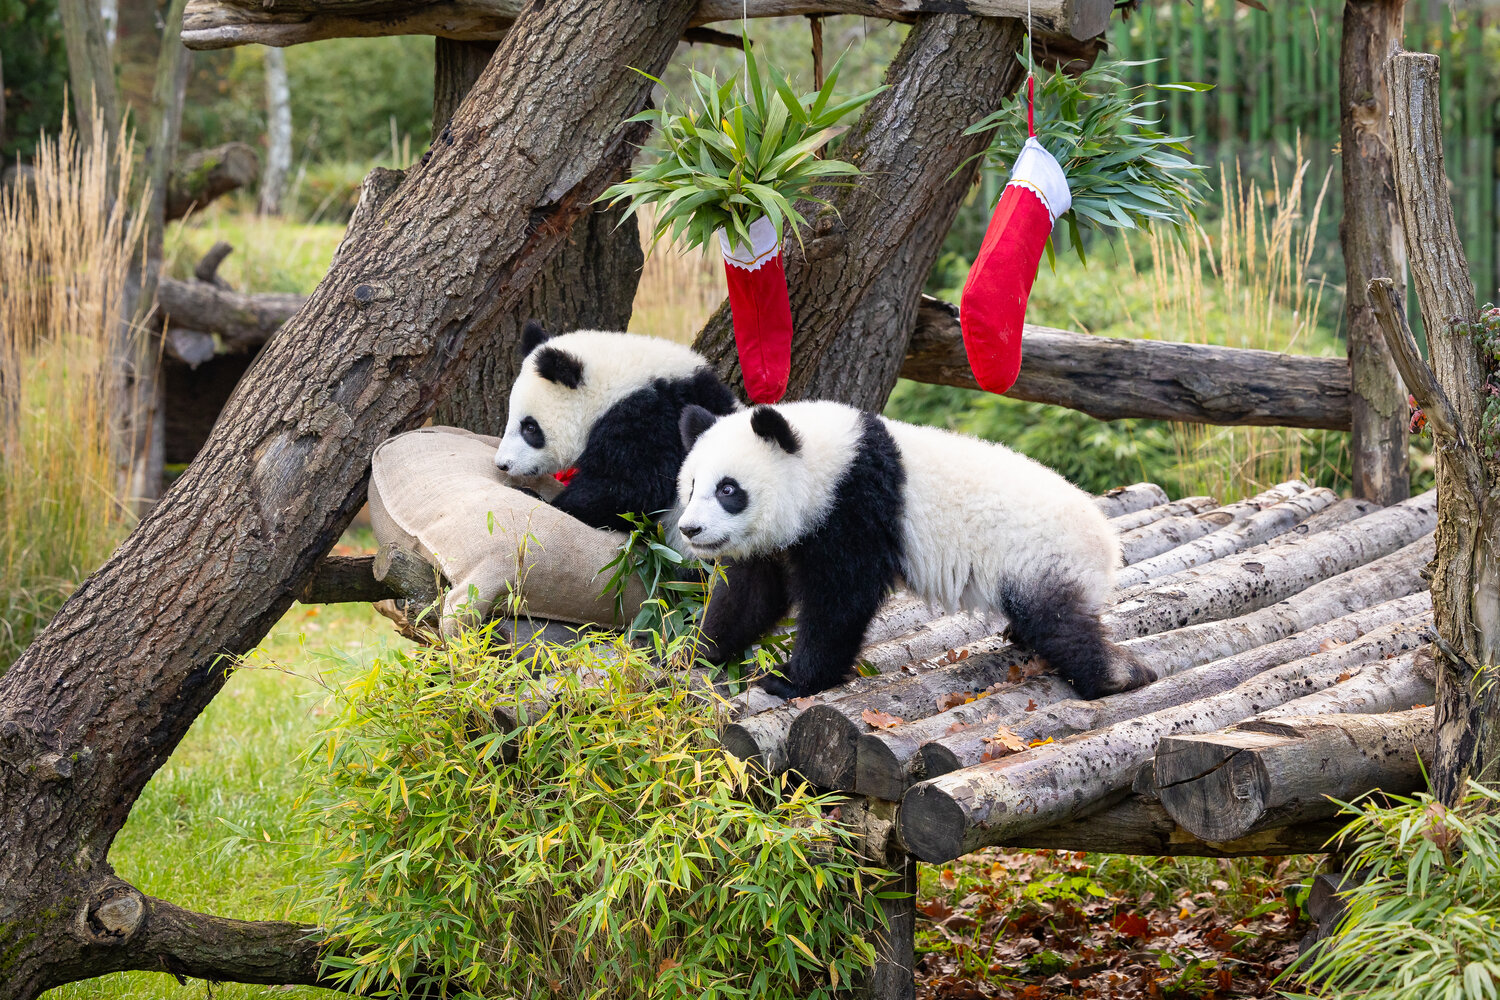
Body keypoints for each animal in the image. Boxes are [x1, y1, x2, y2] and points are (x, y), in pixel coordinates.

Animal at [674, 400, 1148, 701]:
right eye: (692, 486)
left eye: (728, 490)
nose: (690, 529)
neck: (831, 459)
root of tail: (1107, 543)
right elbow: (750, 596)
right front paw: (691, 654)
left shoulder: (855, 507)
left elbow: (840, 601)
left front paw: (792, 681)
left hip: (1041, 556)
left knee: (1060, 622)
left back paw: (1116, 676)